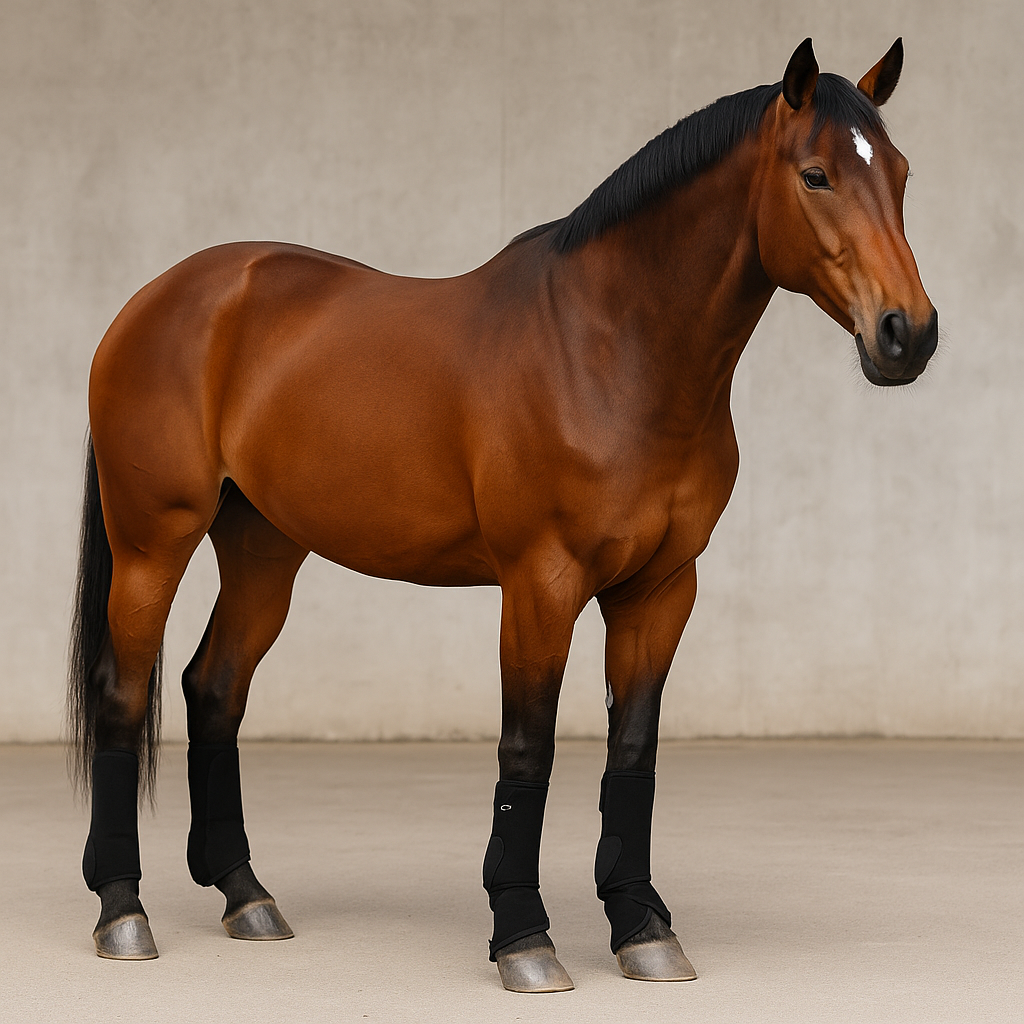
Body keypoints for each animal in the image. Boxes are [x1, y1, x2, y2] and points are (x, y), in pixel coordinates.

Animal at [67, 37, 936, 992]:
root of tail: (161, 297)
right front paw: (524, 938)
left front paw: (643, 928)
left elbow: (634, 752)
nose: (908, 334)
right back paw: (122, 911)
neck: (609, 352)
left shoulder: (662, 589)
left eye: (900, 172)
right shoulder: (540, 584)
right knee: (123, 694)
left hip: (264, 550)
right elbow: (528, 752)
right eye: (816, 175)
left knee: (214, 688)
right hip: (153, 542)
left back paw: (245, 895)